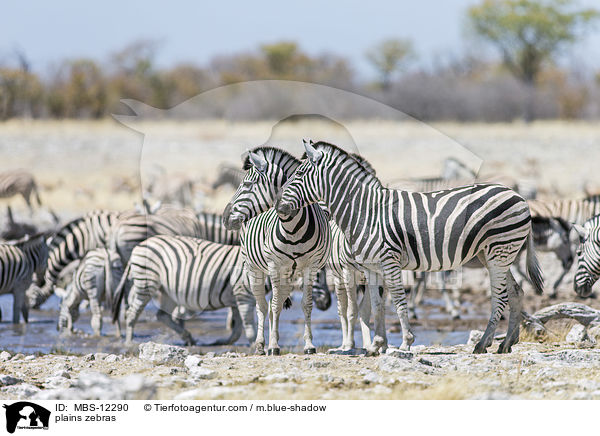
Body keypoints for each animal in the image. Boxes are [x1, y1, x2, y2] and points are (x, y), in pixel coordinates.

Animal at [111, 235, 256, 348]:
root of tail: (138, 246)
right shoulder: (243, 294)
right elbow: (248, 324)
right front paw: (256, 345)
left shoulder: (236, 299)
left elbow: (237, 330)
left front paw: (221, 342)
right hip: (146, 284)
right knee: (132, 313)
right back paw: (129, 342)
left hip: (167, 292)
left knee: (162, 315)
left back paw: (188, 337)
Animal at [223, 146, 330, 354]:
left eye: (247, 184)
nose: (224, 218)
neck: (293, 228)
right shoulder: (274, 266)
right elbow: (272, 306)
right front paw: (272, 345)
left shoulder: (310, 267)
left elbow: (306, 304)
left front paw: (309, 345)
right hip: (254, 269)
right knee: (263, 306)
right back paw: (261, 345)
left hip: (288, 274)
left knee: (277, 301)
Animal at [276, 141, 544, 356]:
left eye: (298, 174)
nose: (279, 208)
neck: (365, 211)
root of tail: (518, 196)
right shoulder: (372, 268)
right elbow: (376, 306)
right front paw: (376, 346)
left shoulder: (389, 261)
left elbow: (398, 300)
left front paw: (405, 342)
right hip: (496, 255)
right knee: (516, 292)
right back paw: (506, 343)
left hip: (499, 251)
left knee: (500, 297)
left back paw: (483, 343)